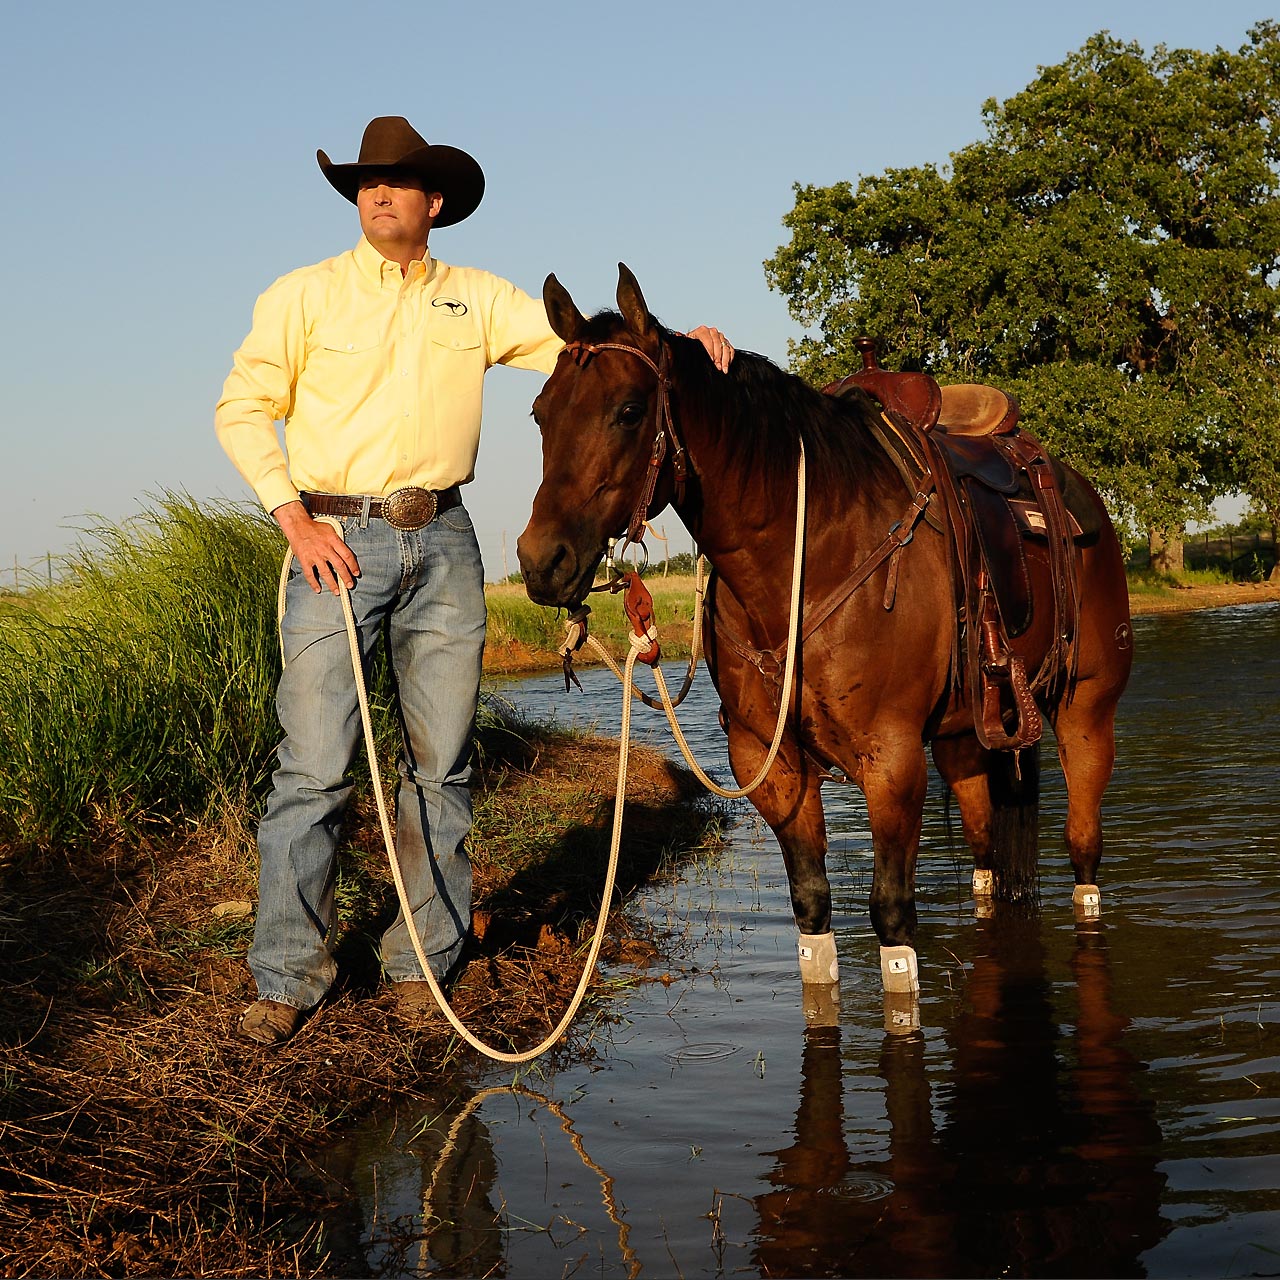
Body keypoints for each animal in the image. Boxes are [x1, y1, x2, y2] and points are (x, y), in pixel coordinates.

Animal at [512, 264, 1131, 1003]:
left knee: (1084, 852)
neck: (807, 555)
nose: (540, 561)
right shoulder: (769, 763)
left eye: (630, 410)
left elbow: (892, 921)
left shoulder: (891, 762)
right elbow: (812, 912)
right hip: (966, 741)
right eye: (541, 413)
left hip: (1087, 714)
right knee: (988, 857)